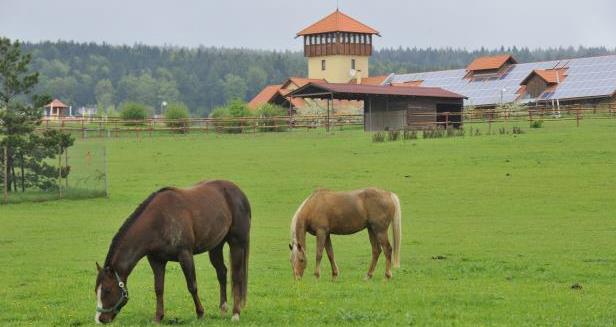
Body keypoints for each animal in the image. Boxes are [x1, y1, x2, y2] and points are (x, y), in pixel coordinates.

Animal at [94, 181, 250, 324]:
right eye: (96, 290)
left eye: (107, 290)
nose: (100, 319)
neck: (158, 221)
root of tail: (239, 192)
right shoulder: (156, 260)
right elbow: (158, 288)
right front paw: (158, 317)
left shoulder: (185, 255)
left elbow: (192, 286)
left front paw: (200, 313)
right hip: (216, 246)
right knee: (222, 273)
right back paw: (223, 309)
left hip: (237, 244)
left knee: (237, 277)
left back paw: (235, 313)